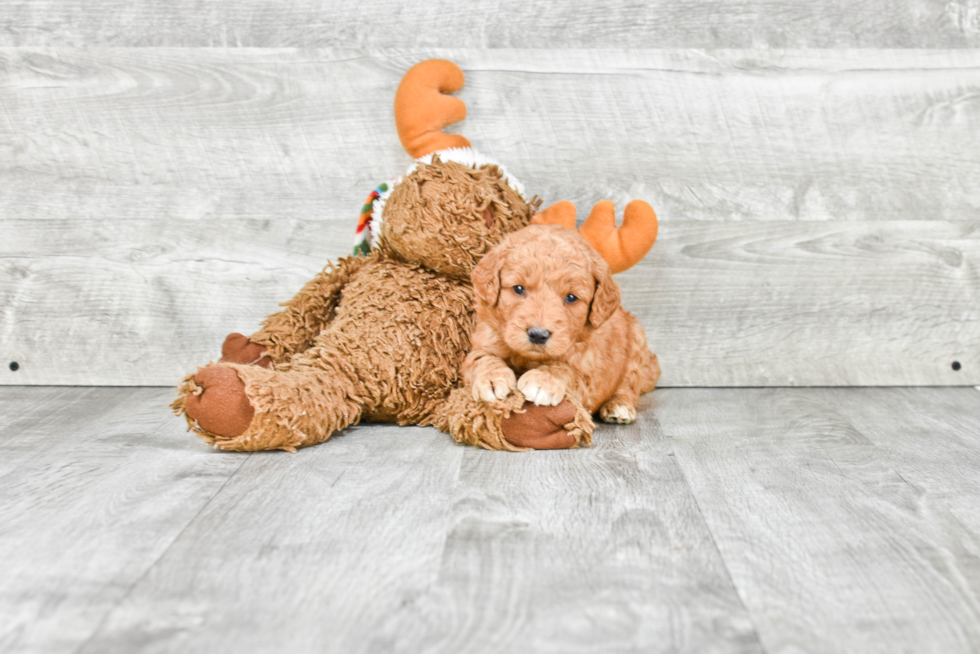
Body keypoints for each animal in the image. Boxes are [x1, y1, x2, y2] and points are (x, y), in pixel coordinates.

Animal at [466, 226, 664, 428]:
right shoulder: (484, 340)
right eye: (518, 288)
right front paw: (491, 378)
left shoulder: (589, 378)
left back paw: (619, 406)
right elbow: (481, 359)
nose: (538, 335)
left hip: (636, 349)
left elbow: (566, 370)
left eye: (571, 297)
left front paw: (542, 380)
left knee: (629, 385)